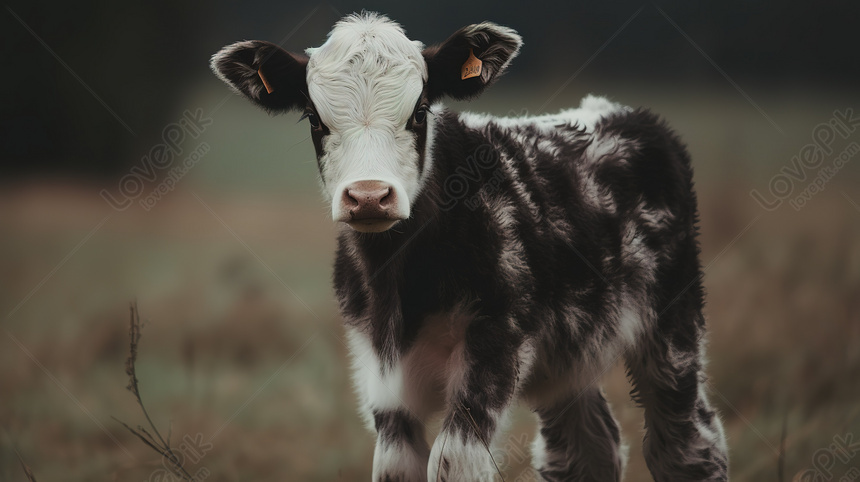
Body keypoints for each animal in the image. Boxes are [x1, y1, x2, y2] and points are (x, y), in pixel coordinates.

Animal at [212, 12, 728, 482]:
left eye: (420, 111)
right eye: (315, 119)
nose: (369, 196)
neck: (400, 282)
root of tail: (620, 113)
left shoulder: (494, 345)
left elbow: (453, 463)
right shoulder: (380, 372)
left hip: (673, 325)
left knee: (687, 443)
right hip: (566, 359)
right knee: (585, 450)